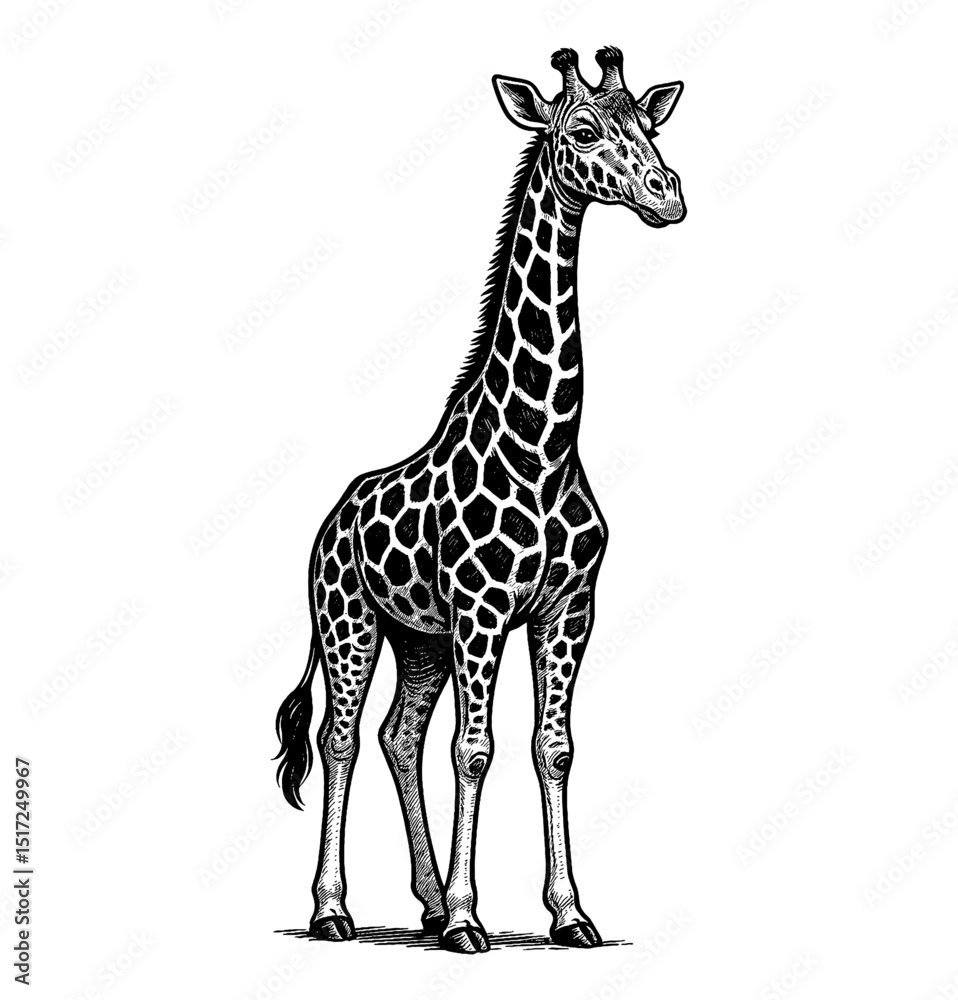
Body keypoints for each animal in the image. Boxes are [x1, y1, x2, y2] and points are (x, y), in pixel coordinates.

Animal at [275, 46, 686, 954]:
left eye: (649, 122)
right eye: (582, 129)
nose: (667, 193)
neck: (543, 447)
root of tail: (327, 523)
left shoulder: (567, 608)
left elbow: (552, 748)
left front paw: (569, 914)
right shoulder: (483, 609)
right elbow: (475, 749)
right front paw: (472, 918)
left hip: (418, 638)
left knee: (397, 736)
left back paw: (424, 904)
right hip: (350, 621)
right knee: (341, 736)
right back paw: (335, 909)